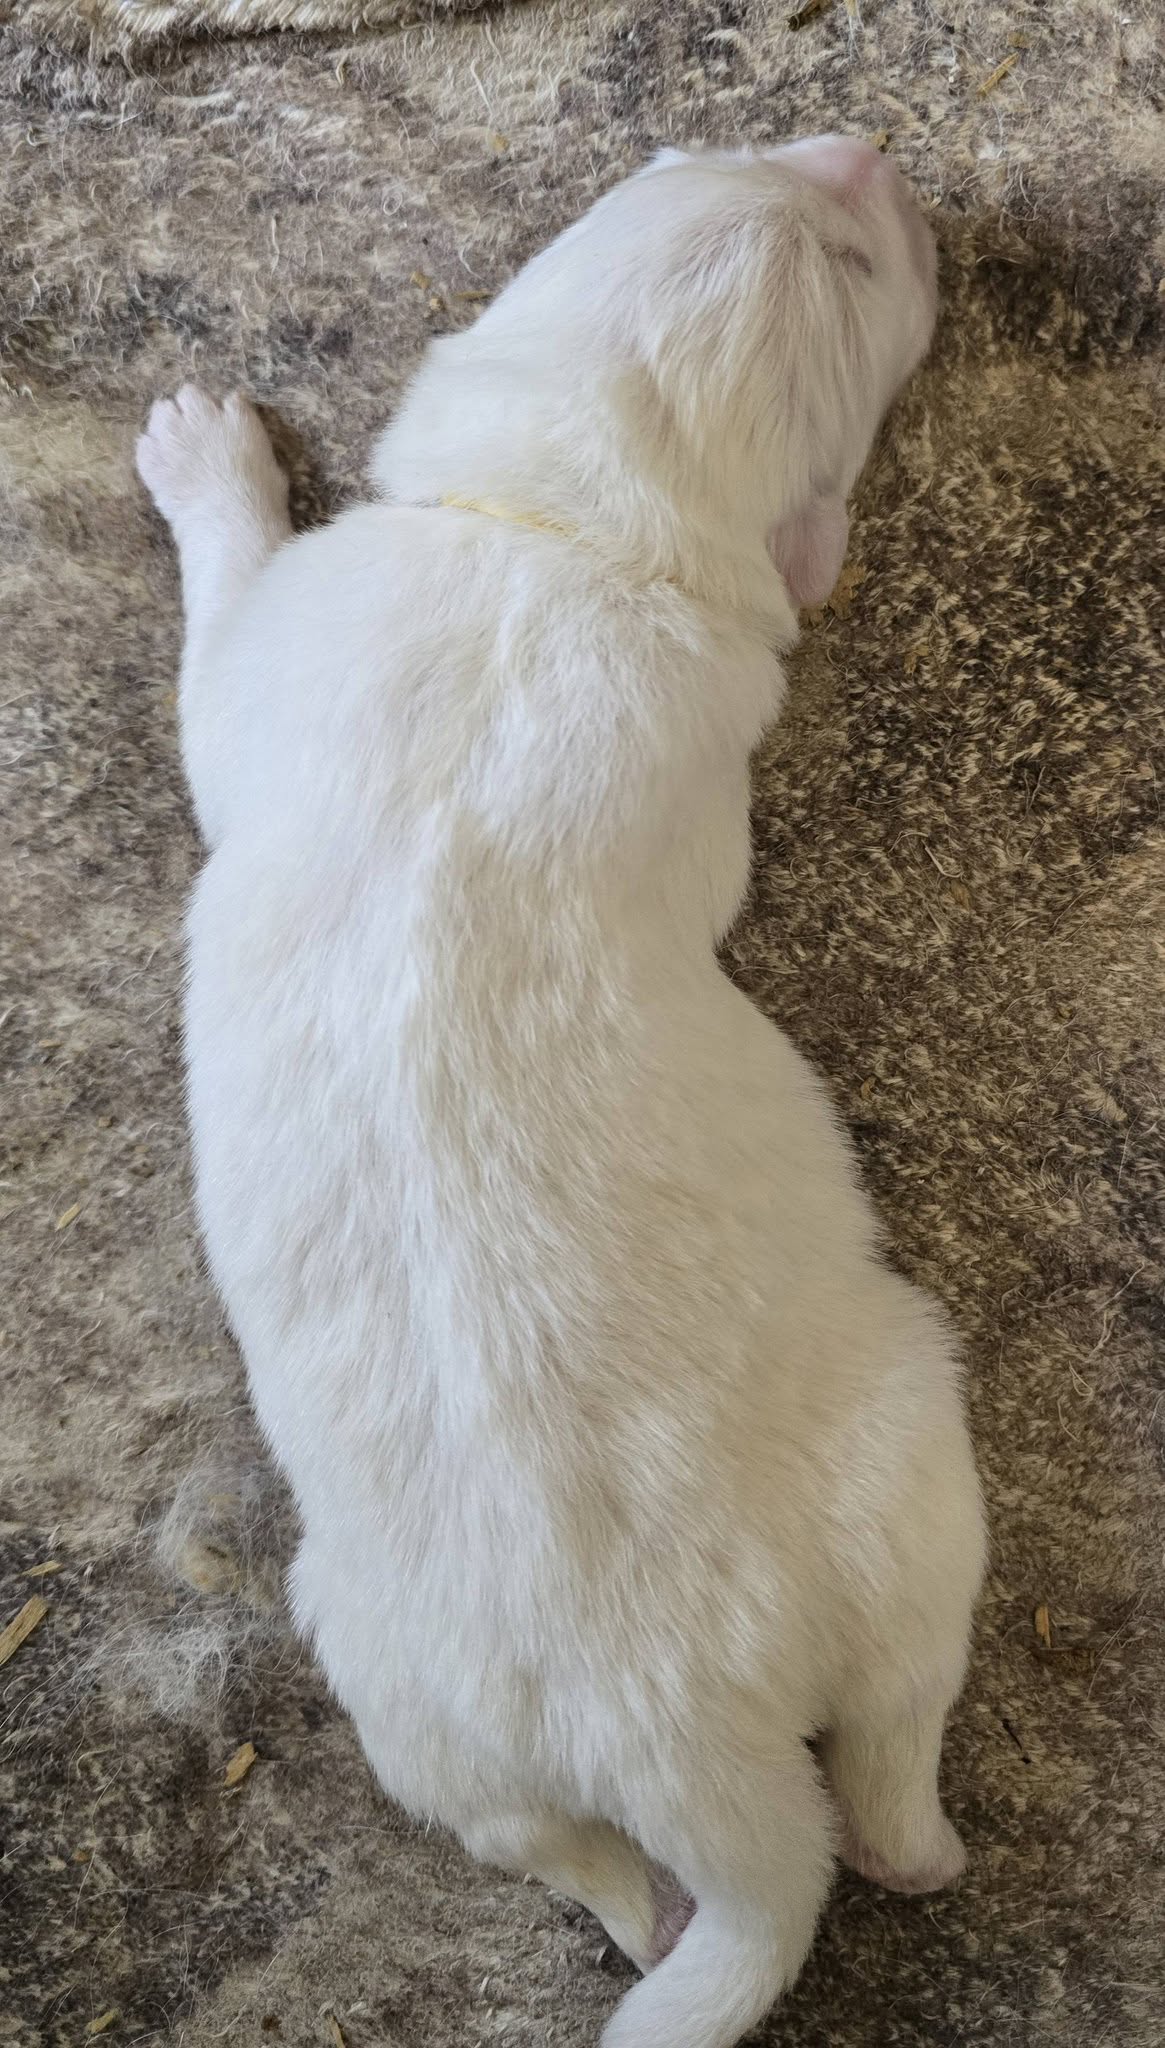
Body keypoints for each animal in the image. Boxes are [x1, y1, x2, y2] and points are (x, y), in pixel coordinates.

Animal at [136, 137, 985, 2048]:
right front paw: (209, 456)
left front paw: (205, 458)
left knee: (728, 1823)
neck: (554, 536)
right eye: (847, 259)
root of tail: (691, 1749)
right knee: (820, 1788)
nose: (865, 155)